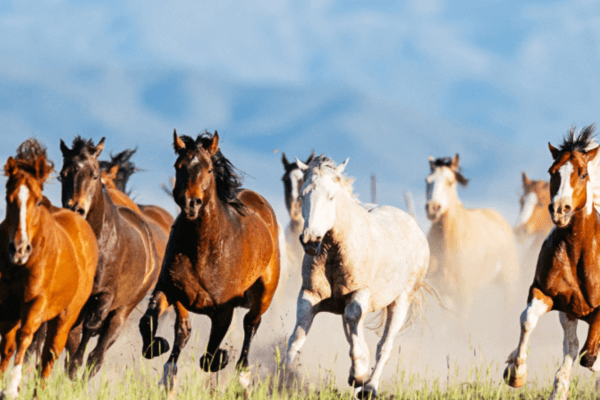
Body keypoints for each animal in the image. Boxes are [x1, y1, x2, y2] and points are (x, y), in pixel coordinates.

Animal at [0, 139, 97, 398]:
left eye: (38, 201)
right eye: (8, 199)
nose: (19, 249)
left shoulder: (36, 303)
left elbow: (24, 338)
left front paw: (11, 388)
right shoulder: (7, 305)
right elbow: (7, 345)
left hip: (65, 318)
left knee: (48, 358)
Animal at [58, 136, 162, 376]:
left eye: (94, 175)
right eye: (62, 174)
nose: (76, 209)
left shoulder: (106, 294)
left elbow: (91, 327)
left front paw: (79, 364)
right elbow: (72, 333)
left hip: (126, 306)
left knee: (101, 348)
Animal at [140, 132, 282, 390]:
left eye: (208, 170)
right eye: (179, 166)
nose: (190, 203)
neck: (203, 251)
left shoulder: (223, 310)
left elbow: (209, 356)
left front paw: (222, 358)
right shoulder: (170, 289)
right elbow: (149, 322)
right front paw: (158, 346)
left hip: (265, 291)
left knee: (251, 323)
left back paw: (242, 373)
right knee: (182, 332)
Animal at [284, 153, 428, 396]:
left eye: (331, 196)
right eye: (303, 194)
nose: (310, 240)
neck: (333, 251)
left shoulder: (360, 294)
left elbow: (354, 323)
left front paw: (360, 373)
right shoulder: (309, 296)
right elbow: (296, 338)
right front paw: (279, 379)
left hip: (401, 300)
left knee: (384, 345)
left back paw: (369, 386)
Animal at [504, 125, 600, 400]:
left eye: (583, 173)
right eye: (552, 171)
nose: (560, 209)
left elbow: (590, 353)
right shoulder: (547, 295)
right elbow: (527, 319)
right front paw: (515, 373)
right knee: (571, 347)